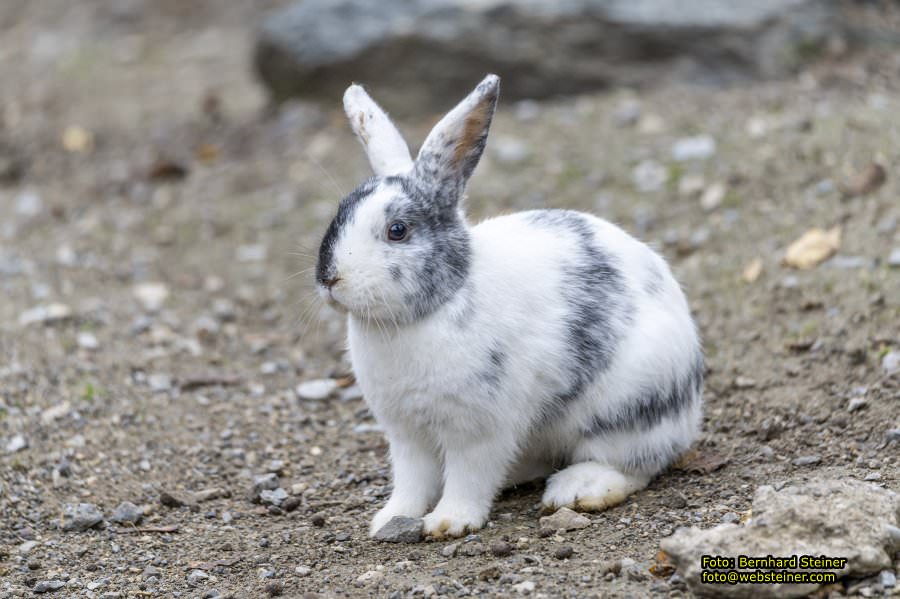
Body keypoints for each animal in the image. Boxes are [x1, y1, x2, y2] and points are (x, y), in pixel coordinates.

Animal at [316, 75, 704, 540]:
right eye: (339, 213)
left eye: (398, 230)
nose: (329, 278)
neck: (431, 309)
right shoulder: (407, 434)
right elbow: (412, 481)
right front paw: (391, 519)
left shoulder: (478, 430)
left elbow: (468, 477)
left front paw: (449, 522)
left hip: (627, 409)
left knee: (635, 465)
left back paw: (577, 489)